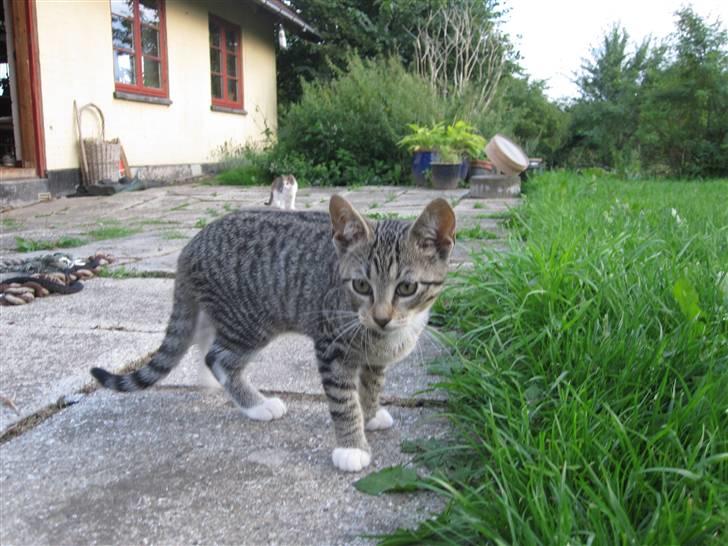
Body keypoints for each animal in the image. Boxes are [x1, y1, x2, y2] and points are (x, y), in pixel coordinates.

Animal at [91, 193, 456, 470]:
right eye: (361, 285)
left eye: (407, 287)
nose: (381, 318)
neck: (382, 336)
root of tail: (190, 246)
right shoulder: (331, 346)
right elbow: (343, 398)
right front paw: (352, 446)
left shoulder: (375, 359)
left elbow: (371, 385)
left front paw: (370, 413)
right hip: (249, 322)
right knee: (218, 357)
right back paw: (255, 404)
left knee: (204, 343)